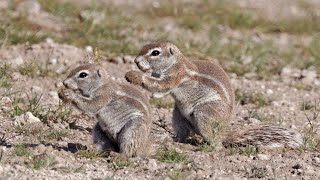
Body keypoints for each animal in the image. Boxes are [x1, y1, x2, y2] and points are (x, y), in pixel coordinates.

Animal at [125, 41, 302, 148]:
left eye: (155, 53)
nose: (136, 61)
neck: (175, 62)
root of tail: (223, 131)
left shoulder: (176, 75)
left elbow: (160, 85)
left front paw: (134, 75)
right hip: (178, 115)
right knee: (183, 133)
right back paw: (171, 140)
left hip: (205, 112)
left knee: (216, 143)